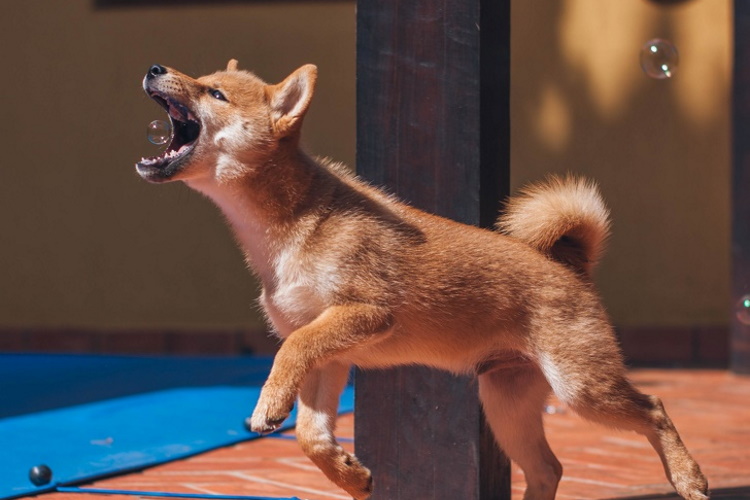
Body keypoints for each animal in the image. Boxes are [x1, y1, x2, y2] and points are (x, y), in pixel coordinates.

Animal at [137, 59, 712, 500]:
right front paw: (351, 475)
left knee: (654, 409)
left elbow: (290, 353)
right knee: (548, 469)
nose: (156, 68)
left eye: (214, 92)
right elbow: (311, 437)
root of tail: (569, 263)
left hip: (581, 388)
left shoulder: (362, 315)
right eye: (201, 78)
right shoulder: (332, 356)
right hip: (506, 402)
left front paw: (268, 404)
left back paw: (688, 479)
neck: (289, 229)